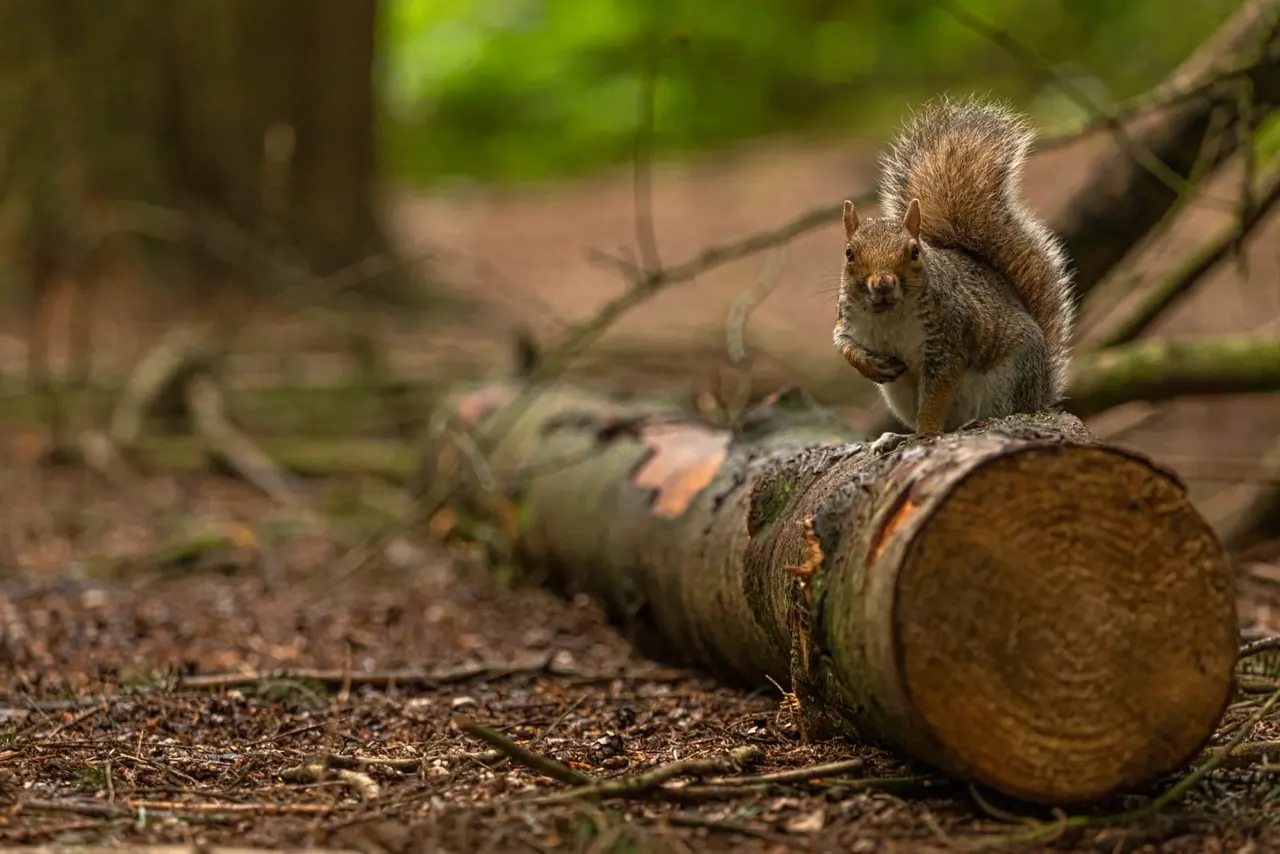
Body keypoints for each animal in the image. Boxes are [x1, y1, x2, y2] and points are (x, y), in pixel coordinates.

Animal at [832, 95, 1075, 454]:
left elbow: (936, 398)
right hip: (900, 394)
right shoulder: (847, 320)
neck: (888, 315)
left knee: (995, 412)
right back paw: (895, 437)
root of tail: (1041, 393)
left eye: (914, 251)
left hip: (1009, 379)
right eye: (849, 253)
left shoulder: (947, 340)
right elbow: (843, 343)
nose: (883, 284)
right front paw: (870, 364)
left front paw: (926, 433)